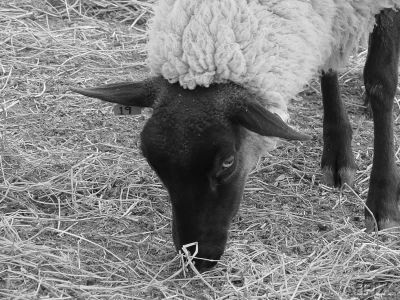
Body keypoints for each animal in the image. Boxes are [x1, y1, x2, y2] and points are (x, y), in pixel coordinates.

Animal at [72, 0, 400, 272]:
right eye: (153, 163)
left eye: (228, 162)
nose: (197, 259)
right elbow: (328, 61)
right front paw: (337, 154)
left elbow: (380, 81)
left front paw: (382, 202)